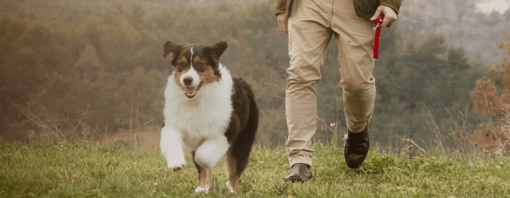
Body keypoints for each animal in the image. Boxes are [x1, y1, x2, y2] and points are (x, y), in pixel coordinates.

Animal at [160, 40, 258, 193]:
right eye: (181, 64)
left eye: (200, 64)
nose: (187, 80)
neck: (195, 101)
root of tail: (244, 84)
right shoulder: (172, 124)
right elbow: (172, 142)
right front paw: (176, 164)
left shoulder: (227, 129)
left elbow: (203, 156)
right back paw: (202, 188)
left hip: (243, 141)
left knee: (235, 170)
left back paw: (231, 191)